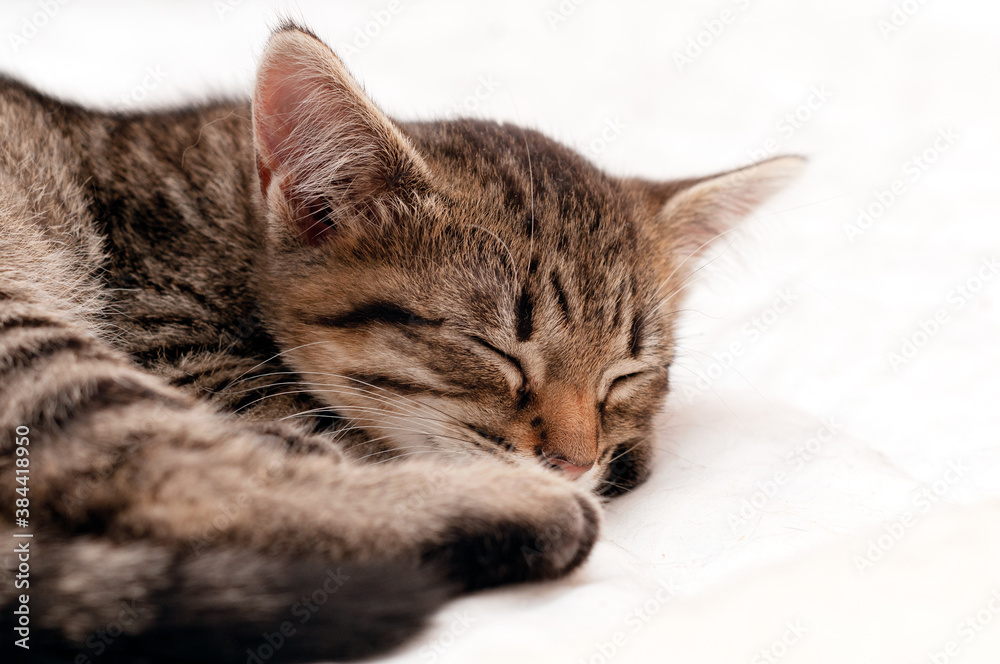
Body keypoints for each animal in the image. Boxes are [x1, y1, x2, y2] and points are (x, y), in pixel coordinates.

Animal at [0, 22, 800, 664]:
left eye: (626, 374)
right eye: (495, 350)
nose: (575, 463)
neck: (233, 223)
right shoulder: (181, 344)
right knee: (175, 476)